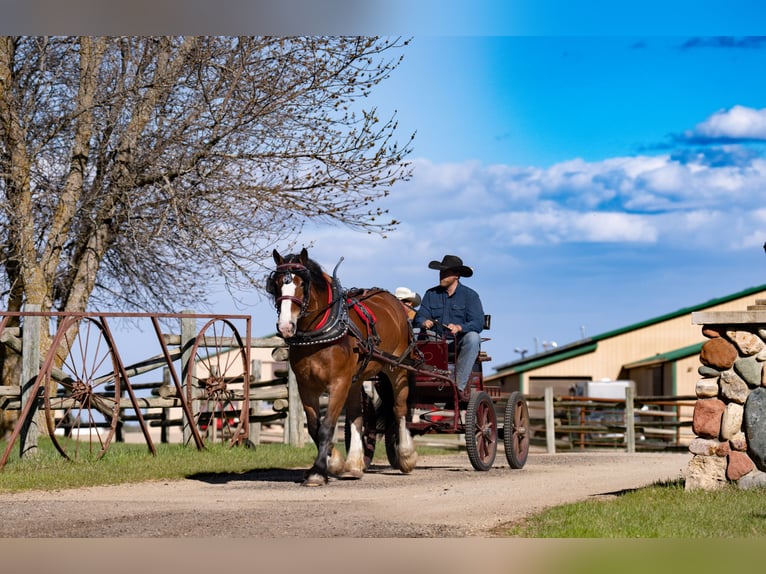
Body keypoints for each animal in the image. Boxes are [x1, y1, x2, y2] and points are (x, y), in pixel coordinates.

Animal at [266, 248, 418, 486]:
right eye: (277, 283)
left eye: (302, 284)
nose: (285, 326)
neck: (320, 333)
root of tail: (394, 302)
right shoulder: (306, 387)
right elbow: (315, 427)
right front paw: (335, 463)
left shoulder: (338, 383)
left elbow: (327, 427)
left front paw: (319, 472)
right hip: (356, 379)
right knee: (357, 415)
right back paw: (354, 465)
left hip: (397, 370)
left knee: (399, 409)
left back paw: (405, 456)